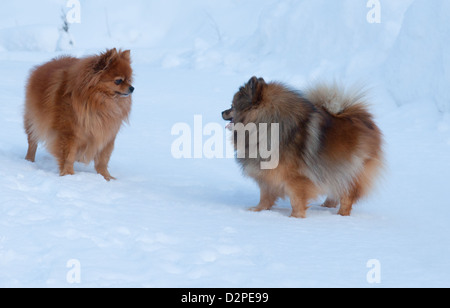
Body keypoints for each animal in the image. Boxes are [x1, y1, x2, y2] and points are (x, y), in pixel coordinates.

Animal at [24, 48, 134, 180]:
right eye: (118, 81)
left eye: (129, 80)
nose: (132, 88)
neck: (98, 101)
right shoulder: (69, 134)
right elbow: (68, 156)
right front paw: (68, 174)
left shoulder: (106, 134)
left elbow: (103, 159)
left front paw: (106, 177)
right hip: (32, 120)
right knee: (32, 142)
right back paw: (29, 160)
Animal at [221, 76, 384, 217]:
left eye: (232, 106)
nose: (222, 112)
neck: (266, 125)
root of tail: (362, 117)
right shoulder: (267, 174)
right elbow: (265, 195)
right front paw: (257, 210)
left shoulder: (296, 177)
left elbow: (296, 199)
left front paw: (295, 217)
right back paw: (326, 206)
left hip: (350, 169)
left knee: (347, 195)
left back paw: (341, 215)